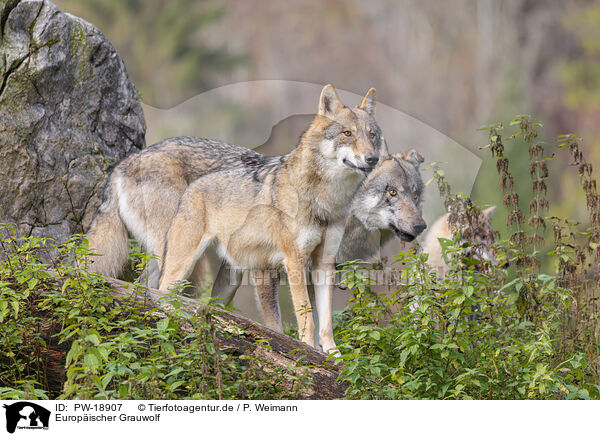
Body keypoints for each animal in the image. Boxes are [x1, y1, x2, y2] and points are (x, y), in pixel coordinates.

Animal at [87, 84, 382, 354]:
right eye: (347, 133)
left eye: (372, 136)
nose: (373, 158)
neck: (324, 201)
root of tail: (123, 164)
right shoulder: (292, 262)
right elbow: (305, 318)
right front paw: (306, 353)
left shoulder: (323, 263)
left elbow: (325, 323)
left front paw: (334, 359)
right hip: (181, 261)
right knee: (160, 293)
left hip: (225, 275)